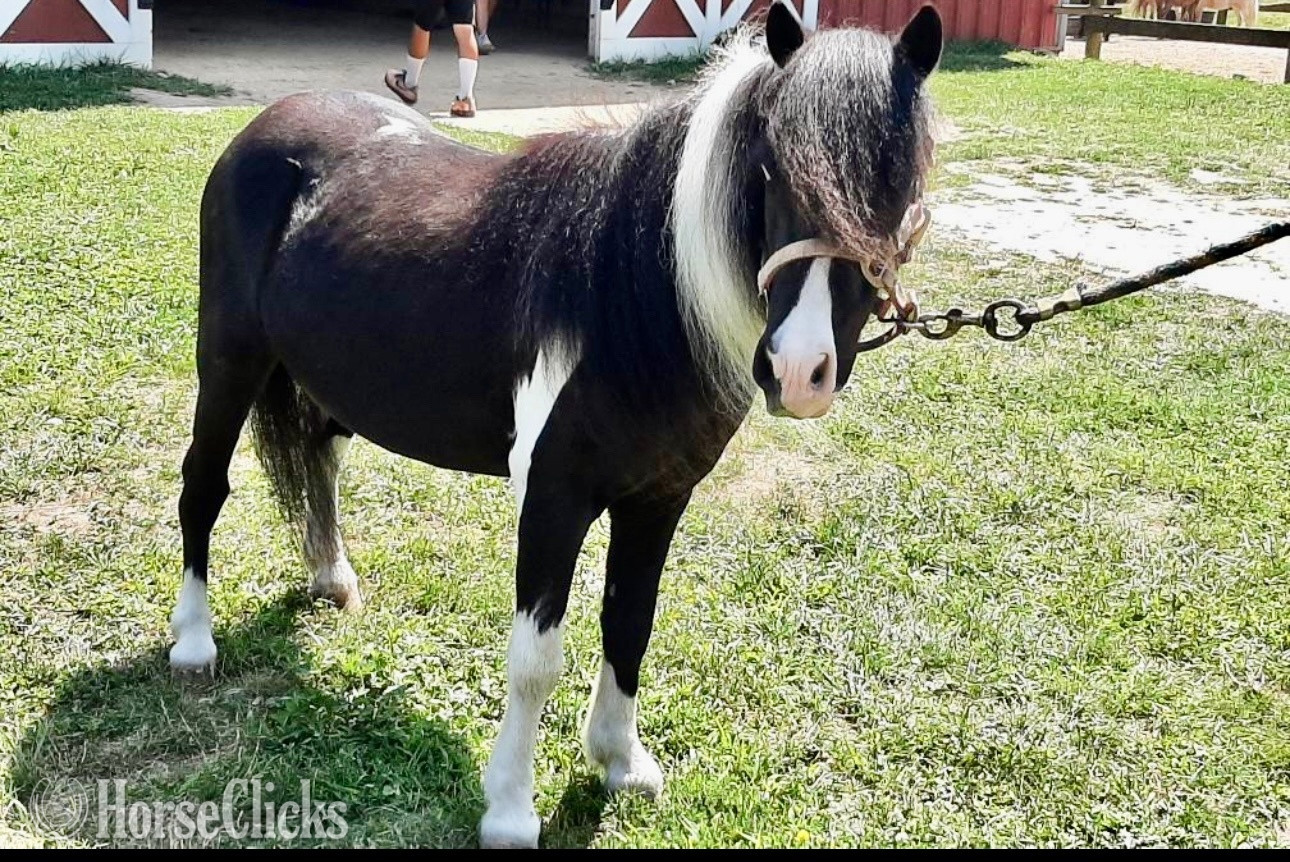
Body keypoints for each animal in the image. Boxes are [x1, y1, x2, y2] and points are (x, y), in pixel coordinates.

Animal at [170, 2, 942, 848]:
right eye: (768, 171)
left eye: (902, 179)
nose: (799, 371)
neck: (630, 296)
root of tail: (267, 126)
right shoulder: (552, 500)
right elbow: (535, 660)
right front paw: (510, 808)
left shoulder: (657, 500)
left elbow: (629, 624)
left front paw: (621, 762)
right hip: (230, 364)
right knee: (203, 485)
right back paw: (194, 641)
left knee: (318, 459)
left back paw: (330, 578)